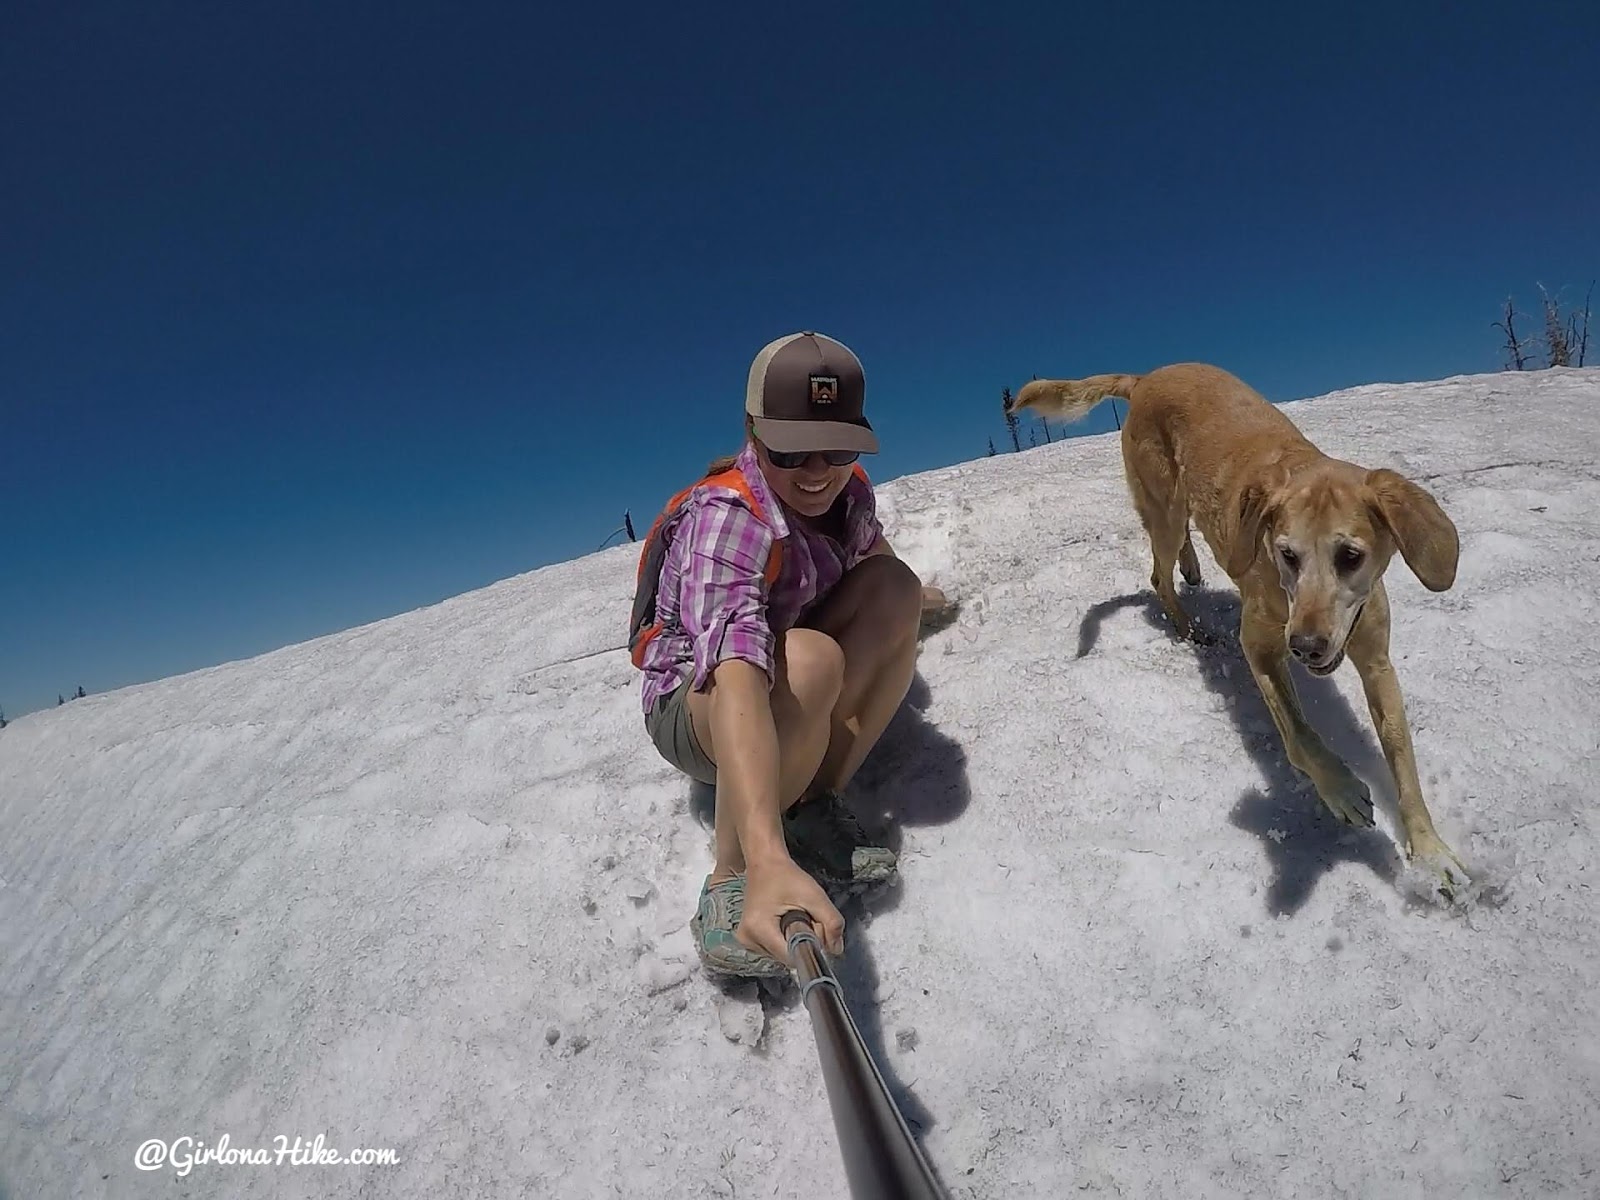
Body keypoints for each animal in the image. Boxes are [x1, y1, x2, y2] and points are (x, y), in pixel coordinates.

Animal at [1017, 366, 1465, 902]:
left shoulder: (1377, 662)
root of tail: (1146, 377)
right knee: (1158, 574)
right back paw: (1188, 628)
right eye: (1288, 554)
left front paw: (1431, 852)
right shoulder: (1260, 647)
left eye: (1350, 556)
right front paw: (1340, 788)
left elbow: (1402, 757)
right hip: (1164, 507)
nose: (1305, 648)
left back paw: (1192, 567)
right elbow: (1299, 735)